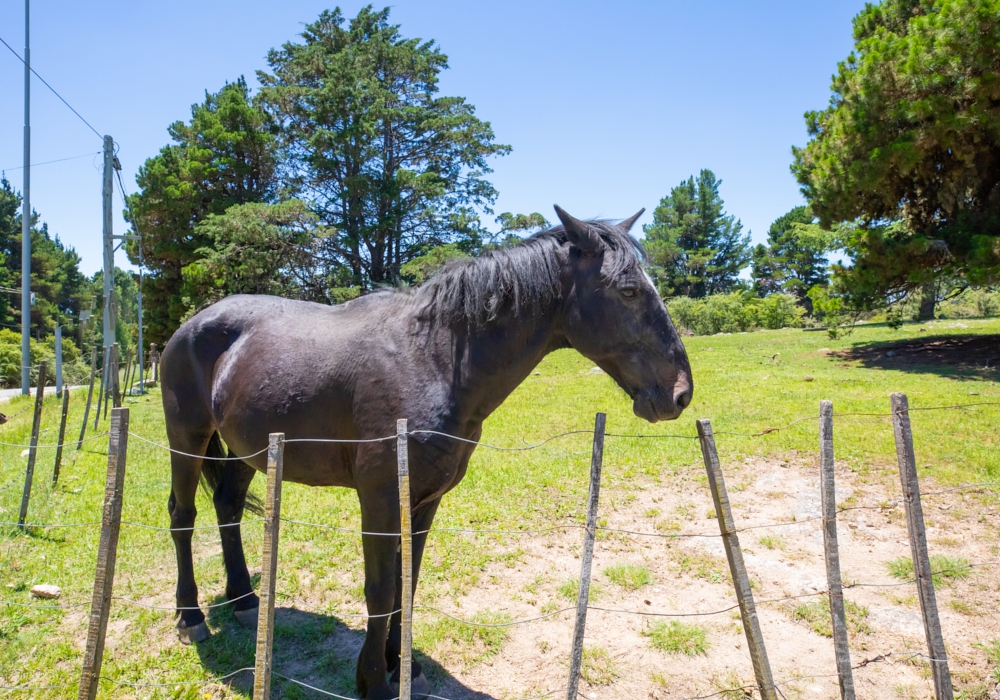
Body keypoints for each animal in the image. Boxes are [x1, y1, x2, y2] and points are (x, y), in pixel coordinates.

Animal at [162, 205, 696, 696]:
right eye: (628, 290)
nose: (680, 394)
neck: (434, 360)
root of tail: (192, 325)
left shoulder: (424, 500)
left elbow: (409, 582)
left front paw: (404, 664)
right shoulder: (379, 500)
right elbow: (381, 591)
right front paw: (372, 680)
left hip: (247, 451)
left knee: (228, 506)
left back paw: (244, 599)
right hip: (186, 438)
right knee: (182, 516)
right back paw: (191, 617)